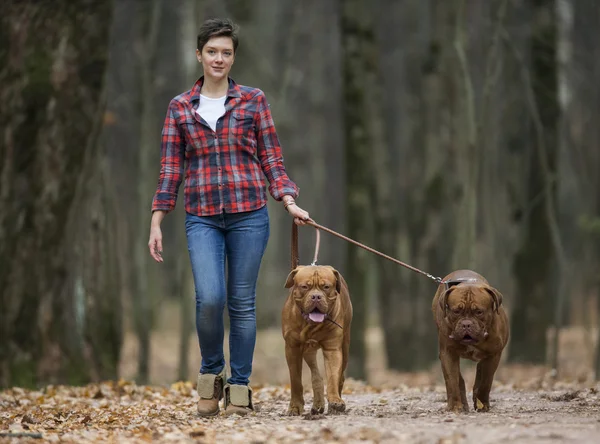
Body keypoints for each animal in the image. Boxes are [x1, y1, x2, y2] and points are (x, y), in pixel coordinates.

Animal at [282, 266, 352, 414]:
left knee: (340, 376)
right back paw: (318, 403)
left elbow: (333, 376)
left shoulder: (332, 348)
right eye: (304, 287)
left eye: (326, 287)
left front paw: (335, 401)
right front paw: (295, 406)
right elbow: (295, 380)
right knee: (316, 375)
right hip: (308, 350)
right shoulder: (292, 348)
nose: (316, 296)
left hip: (345, 345)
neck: (311, 325)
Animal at [432, 270, 510, 412]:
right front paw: (455, 406)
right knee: (459, 379)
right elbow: (452, 380)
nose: (466, 324)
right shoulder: (447, 353)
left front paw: (482, 404)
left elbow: (486, 381)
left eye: (479, 312)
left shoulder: (494, 355)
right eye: (456, 311)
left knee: (480, 371)